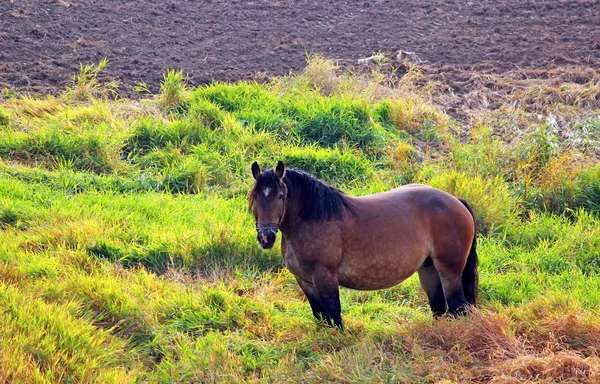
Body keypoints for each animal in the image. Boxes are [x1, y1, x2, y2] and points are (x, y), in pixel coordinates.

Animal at [248, 161, 478, 330]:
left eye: (280, 196)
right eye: (255, 195)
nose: (266, 237)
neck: (312, 217)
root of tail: (457, 202)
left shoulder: (325, 277)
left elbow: (334, 316)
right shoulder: (305, 281)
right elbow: (321, 316)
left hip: (449, 270)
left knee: (457, 306)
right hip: (428, 269)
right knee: (439, 307)